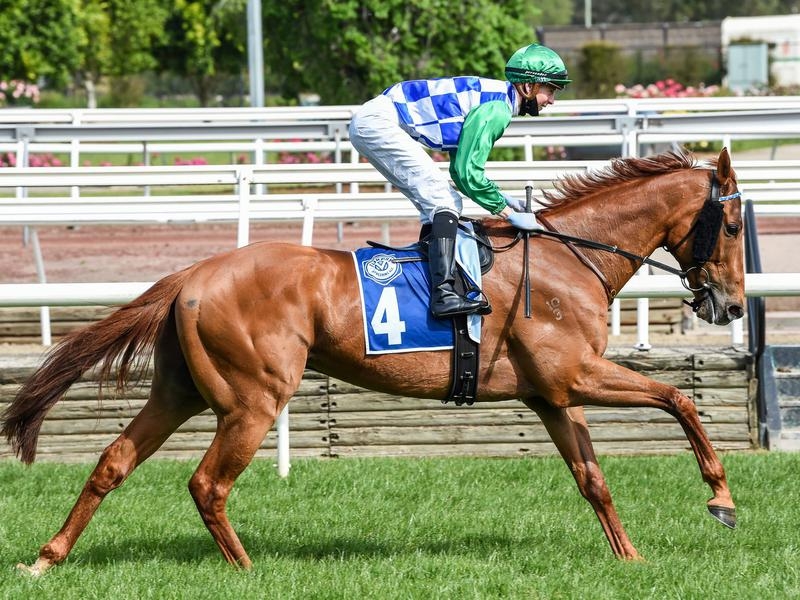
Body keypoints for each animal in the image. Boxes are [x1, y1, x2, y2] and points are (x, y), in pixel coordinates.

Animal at [2, 148, 744, 574]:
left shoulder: (552, 394)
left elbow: (594, 480)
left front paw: (631, 559)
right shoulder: (577, 374)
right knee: (208, 484)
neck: (570, 257)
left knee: (114, 461)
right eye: (735, 226)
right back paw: (248, 570)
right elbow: (680, 399)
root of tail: (194, 273)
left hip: (179, 392)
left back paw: (47, 558)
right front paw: (722, 499)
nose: (732, 305)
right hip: (253, 398)